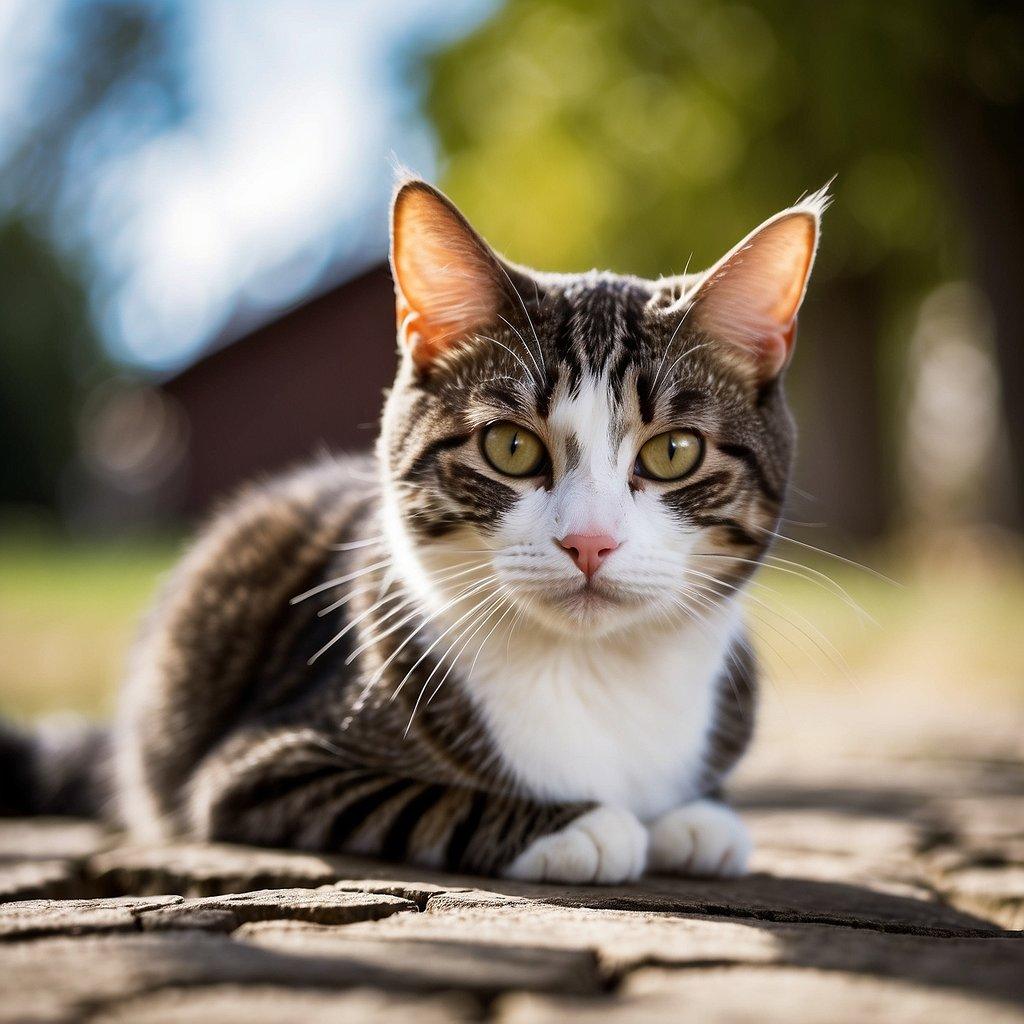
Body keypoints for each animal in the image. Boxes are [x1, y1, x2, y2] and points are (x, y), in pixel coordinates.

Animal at [0, 180, 823, 884]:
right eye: (510, 447)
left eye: (673, 452)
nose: (589, 543)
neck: (592, 671)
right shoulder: (262, 763)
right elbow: (421, 800)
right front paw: (580, 827)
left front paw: (698, 818)